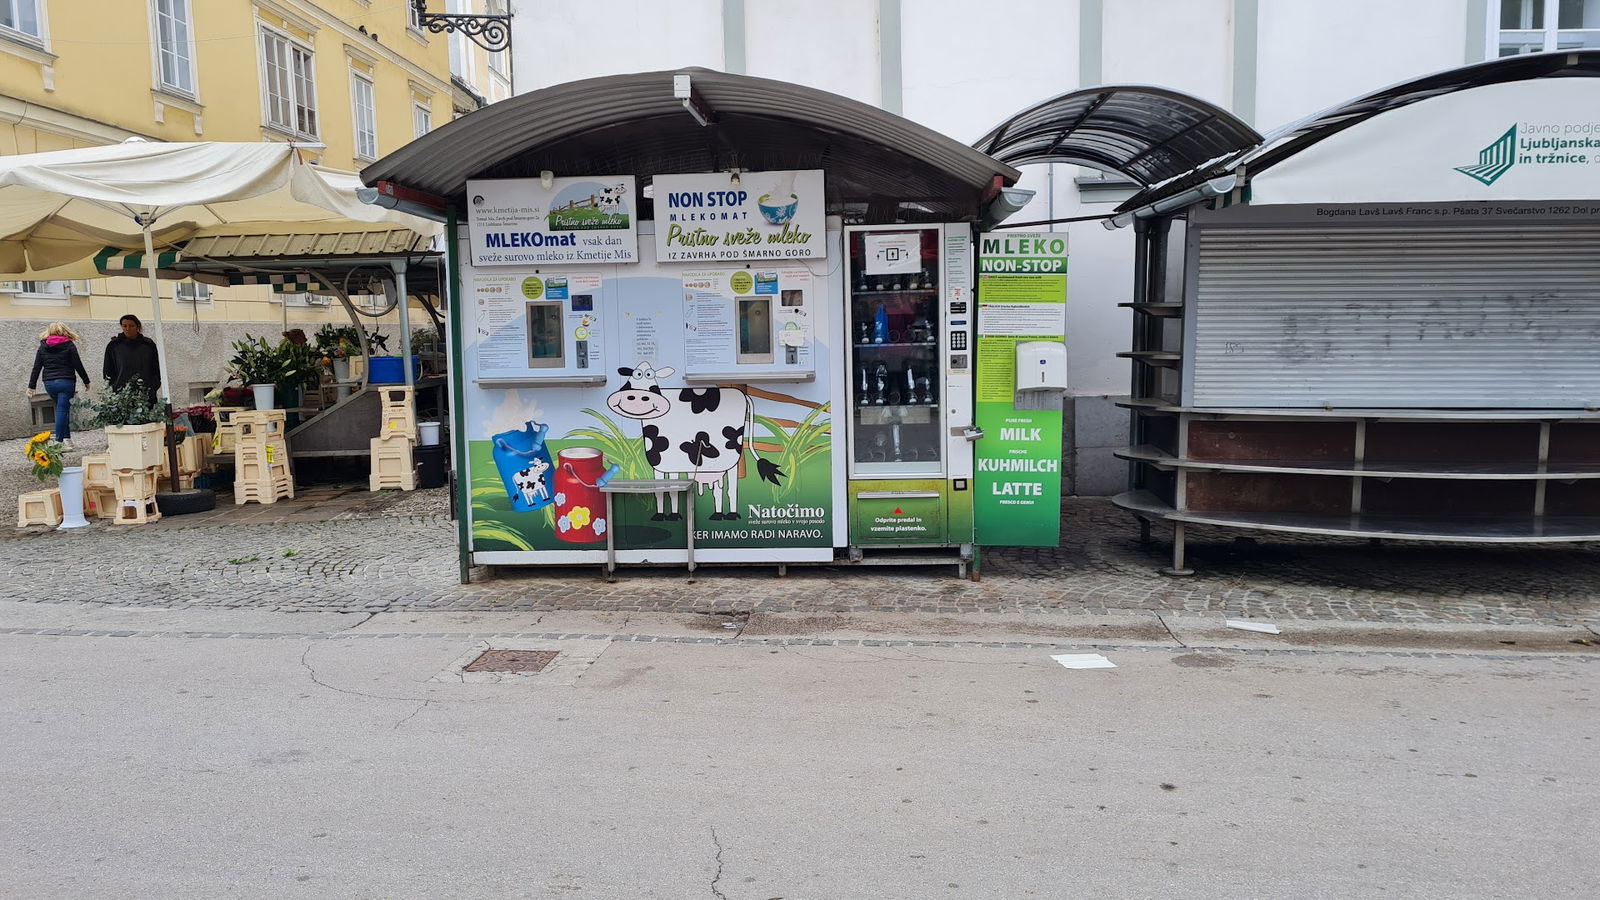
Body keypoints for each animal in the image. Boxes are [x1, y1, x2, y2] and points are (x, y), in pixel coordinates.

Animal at [604, 358, 780, 518]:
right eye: (634, 375)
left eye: (649, 374)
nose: (636, 396)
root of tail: (742, 395)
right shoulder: (662, 461)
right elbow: (663, 491)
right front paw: (665, 516)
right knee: (719, 490)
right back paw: (718, 515)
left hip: (731, 455)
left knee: (731, 488)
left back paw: (731, 515)